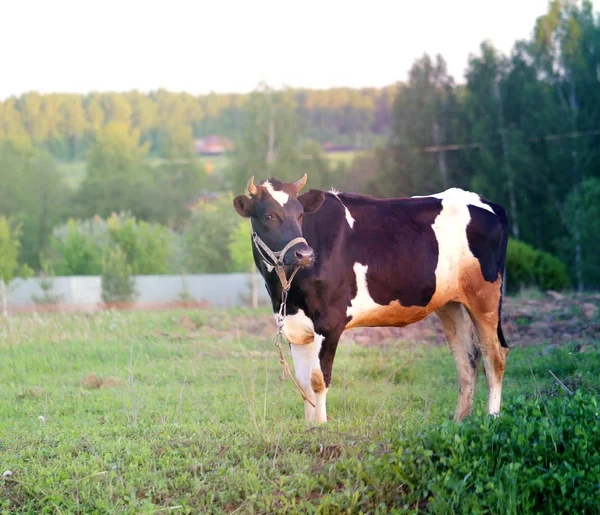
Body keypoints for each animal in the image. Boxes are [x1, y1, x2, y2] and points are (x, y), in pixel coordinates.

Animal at [232, 173, 508, 424]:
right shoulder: (295, 326)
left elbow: (318, 379)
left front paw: (320, 427)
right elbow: (303, 382)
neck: (287, 292)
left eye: (300, 215)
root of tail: (486, 203)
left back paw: (491, 418)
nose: (304, 254)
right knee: (467, 358)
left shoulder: (329, 322)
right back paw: (459, 420)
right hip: (450, 302)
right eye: (268, 216)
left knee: (494, 355)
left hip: (485, 297)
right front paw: (309, 427)